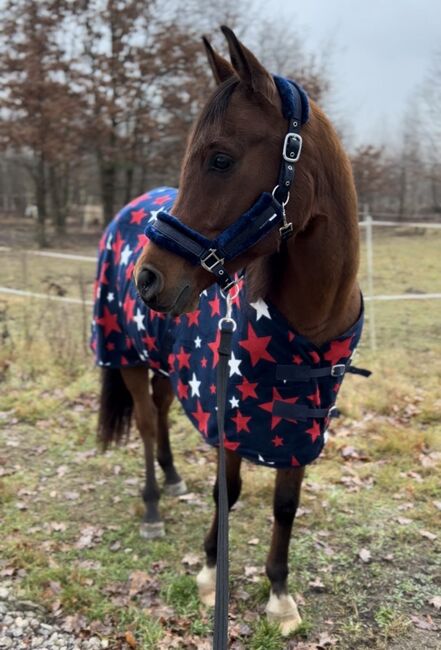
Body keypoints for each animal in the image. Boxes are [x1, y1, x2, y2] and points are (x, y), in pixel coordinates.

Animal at [91, 27, 362, 636]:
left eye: (220, 158)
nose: (148, 278)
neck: (309, 325)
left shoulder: (301, 425)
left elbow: (285, 505)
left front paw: (279, 594)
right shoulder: (229, 418)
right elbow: (229, 490)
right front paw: (213, 572)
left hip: (165, 362)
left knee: (161, 410)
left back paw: (172, 478)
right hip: (126, 356)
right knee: (146, 424)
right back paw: (152, 505)